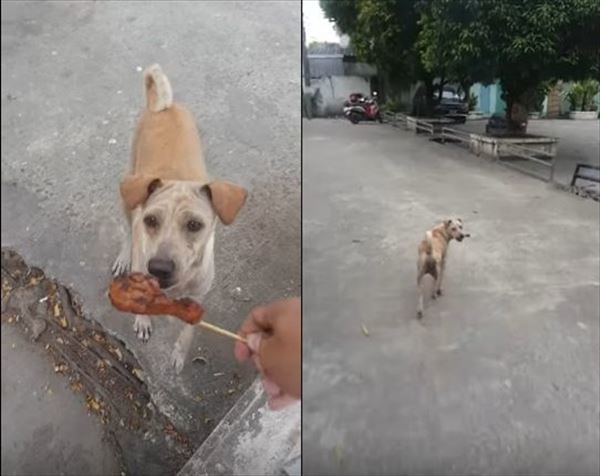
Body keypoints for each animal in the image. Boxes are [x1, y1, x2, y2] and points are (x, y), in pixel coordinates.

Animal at [112, 65, 246, 374]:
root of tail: (163, 106)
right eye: (151, 220)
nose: (159, 268)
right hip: (128, 193)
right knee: (126, 231)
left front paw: (178, 354)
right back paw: (124, 255)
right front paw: (143, 321)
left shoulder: (198, 298)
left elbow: (188, 331)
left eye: (195, 225)